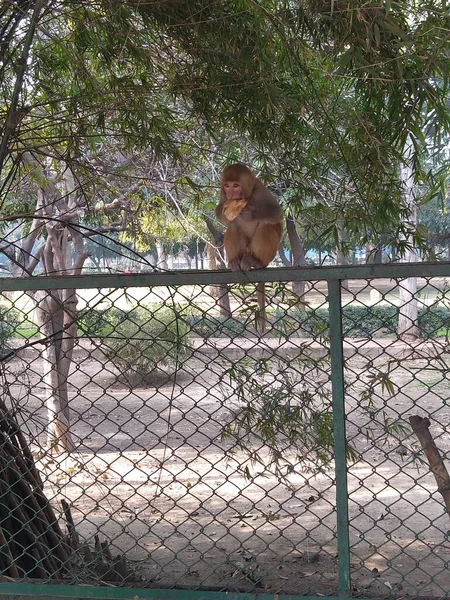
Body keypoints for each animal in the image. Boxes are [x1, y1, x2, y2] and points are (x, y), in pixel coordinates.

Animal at [216, 163, 284, 332]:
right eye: (227, 185)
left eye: (236, 185)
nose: (231, 193)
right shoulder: (224, 197)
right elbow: (221, 213)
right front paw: (227, 212)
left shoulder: (260, 189)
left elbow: (277, 212)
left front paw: (249, 213)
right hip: (243, 250)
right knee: (233, 226)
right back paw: (235, 261)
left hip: (269, 254)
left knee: (266, 225)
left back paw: (255, 262)